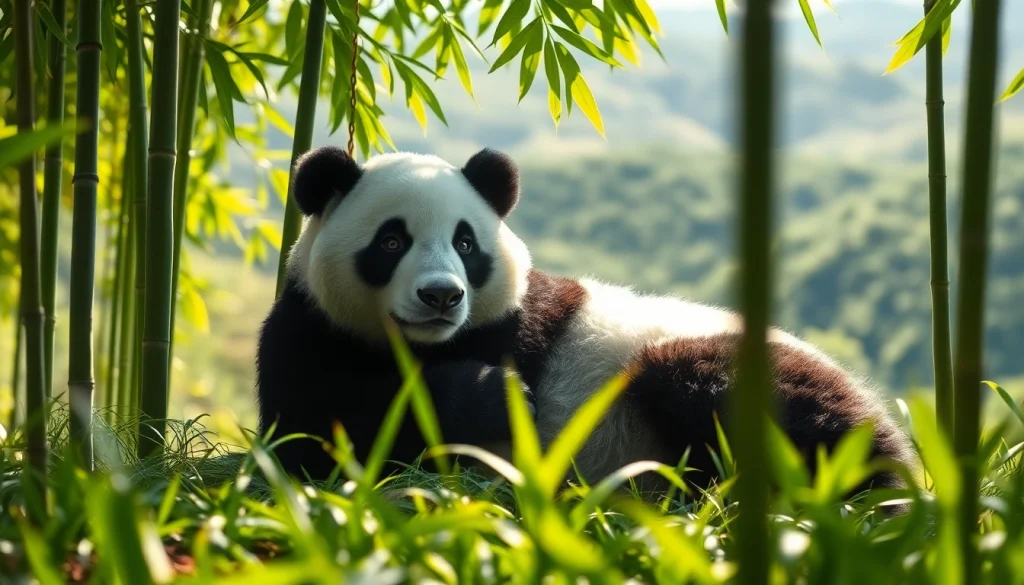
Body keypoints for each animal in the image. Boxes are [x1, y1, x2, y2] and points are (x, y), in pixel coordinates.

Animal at [255, 145, 917, 500]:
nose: (441, 295)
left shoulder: (511, 320)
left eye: (466, 243)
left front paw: (491, 392)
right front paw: (483, 393)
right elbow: (311, 429)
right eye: (391, 241)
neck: (424, 345)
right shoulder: (308, 326)